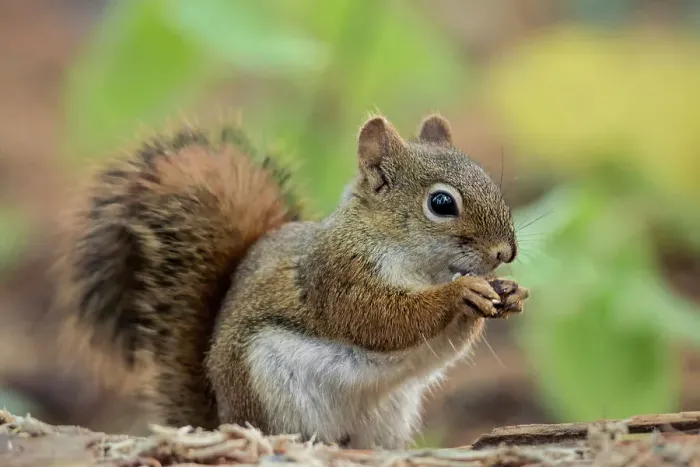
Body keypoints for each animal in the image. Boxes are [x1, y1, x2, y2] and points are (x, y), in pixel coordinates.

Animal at [52, 113, 529, 449]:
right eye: (442, 203)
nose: (505, 254)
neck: (418, 263)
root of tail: (221, 420)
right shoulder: (337, 277)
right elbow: (381, 320)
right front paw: (460, 292)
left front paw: (509, 294)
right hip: (271, 391)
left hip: (390, 415)